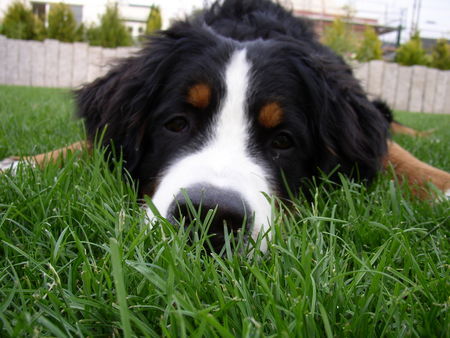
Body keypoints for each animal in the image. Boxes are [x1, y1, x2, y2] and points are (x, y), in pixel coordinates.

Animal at [0, 0, 450, 251]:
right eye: (176, 124)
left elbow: (392, 151)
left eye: (283, 140)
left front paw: (440, 183)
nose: (210, 216)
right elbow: (92, 143)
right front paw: (22, 165)